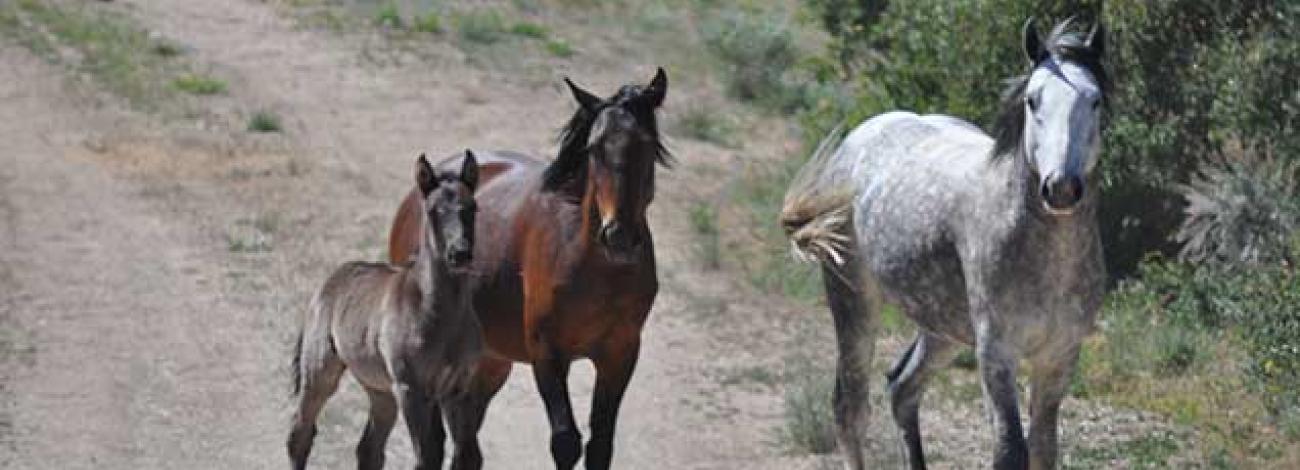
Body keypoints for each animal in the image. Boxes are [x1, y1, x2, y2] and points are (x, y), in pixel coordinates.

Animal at [288, 151, 482, 470]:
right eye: (433, 210)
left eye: (473, 208)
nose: (460, 253)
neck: (437, 315)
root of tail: (329, 282)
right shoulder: (410, 389)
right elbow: (426, 456)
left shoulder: (458, 389)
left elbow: (466, 455)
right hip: (321, 372)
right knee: (300, 434)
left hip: (380, 391)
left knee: (369, 449)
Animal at [386, 69, 669, 470]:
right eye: (594, 148)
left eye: (646, 144)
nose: (619, 235)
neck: (597, 268)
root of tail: (418, 193)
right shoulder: (546, 351)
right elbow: (566, 441)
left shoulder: (620, 353)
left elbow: (600, 446)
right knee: (435, 443)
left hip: (488, 364)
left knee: (466, 448)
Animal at [780, 19, 1108, 470]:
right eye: (1032, 100)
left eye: (1094, 101)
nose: (1060, 188)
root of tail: (858, 137)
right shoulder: (996, 354)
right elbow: (1010, 449)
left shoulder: (1058, 357)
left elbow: (1043, 448)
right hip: (854, 306)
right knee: (850, 411)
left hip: (942, 329)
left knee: (901, 388)